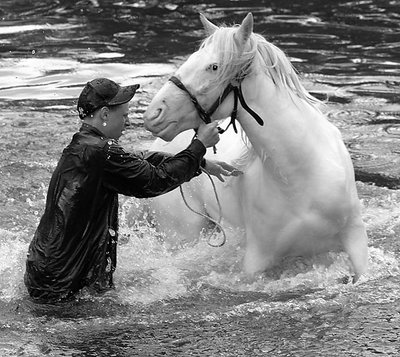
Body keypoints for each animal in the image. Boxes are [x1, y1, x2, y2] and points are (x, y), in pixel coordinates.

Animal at [142, 12, 368, 280]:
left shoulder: (356, 241)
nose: (154, 114)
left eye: (213, 66)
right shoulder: (257, 260)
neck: (301, 176)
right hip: (182, 233)